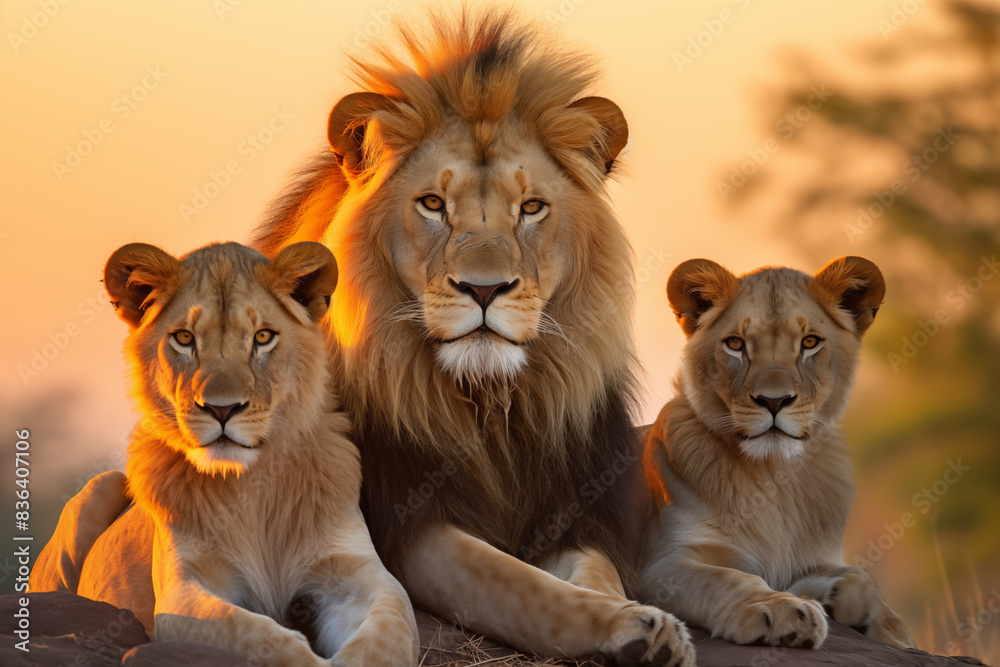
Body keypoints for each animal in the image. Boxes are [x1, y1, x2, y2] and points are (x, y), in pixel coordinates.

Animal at [34, 241, 418, 666]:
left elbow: (385, 634)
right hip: (100, 487)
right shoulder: (183, 589)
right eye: (184, 338)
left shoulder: (359, 572)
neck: (250, 483)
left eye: (263, 336)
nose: (221, 409)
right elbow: (254, 634)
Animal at [636, 256, 915, 651]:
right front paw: (781, 610)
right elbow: (728, 578)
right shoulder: (658, 567)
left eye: (810, 342)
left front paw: (890, 628)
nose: (774, 401)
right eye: (735, 344)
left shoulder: (805, 561)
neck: (773, 476)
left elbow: (862, 577)